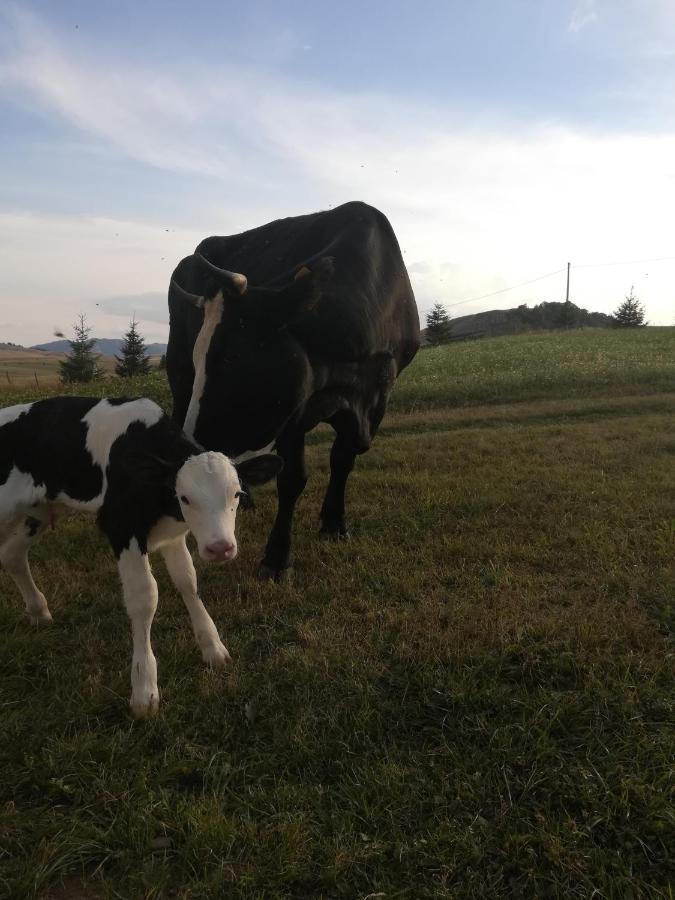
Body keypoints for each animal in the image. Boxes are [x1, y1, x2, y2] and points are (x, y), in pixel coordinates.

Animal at [0, 398, 280, 712]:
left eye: (237, 494)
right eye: (185, 498)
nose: (220, 547)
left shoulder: (172, 533)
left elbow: (187, 581)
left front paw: (212, 647)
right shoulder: (121, 525)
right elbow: (145, 597)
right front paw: (144, 689)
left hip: (38, 511)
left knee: (11, 554)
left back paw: (38, 610)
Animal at [166, 200, 418, 580]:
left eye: (230, 356)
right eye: (201, 356)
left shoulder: (377, 398)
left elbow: (343, 460)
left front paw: (334, 524)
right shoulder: (293, 414)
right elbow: (292, 479)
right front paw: (277, 557)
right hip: (177, 374)